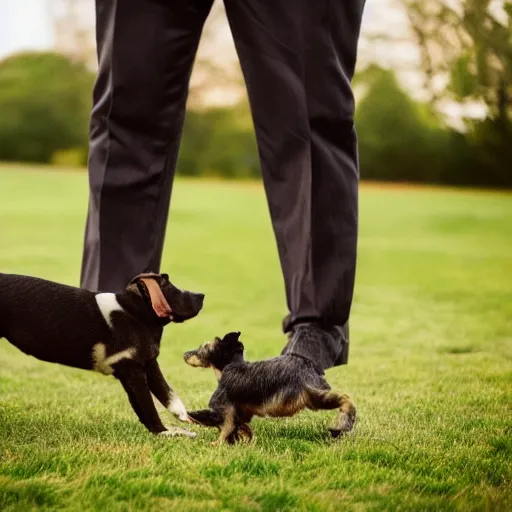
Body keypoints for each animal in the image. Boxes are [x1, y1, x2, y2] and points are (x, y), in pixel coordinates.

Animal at [0, 272, 204, 436]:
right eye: (171, 289)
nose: (202, 295)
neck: (134, 314)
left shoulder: (148, 363)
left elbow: (169, 396)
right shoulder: (132, 370)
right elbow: (148, 406)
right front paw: (164, 432)